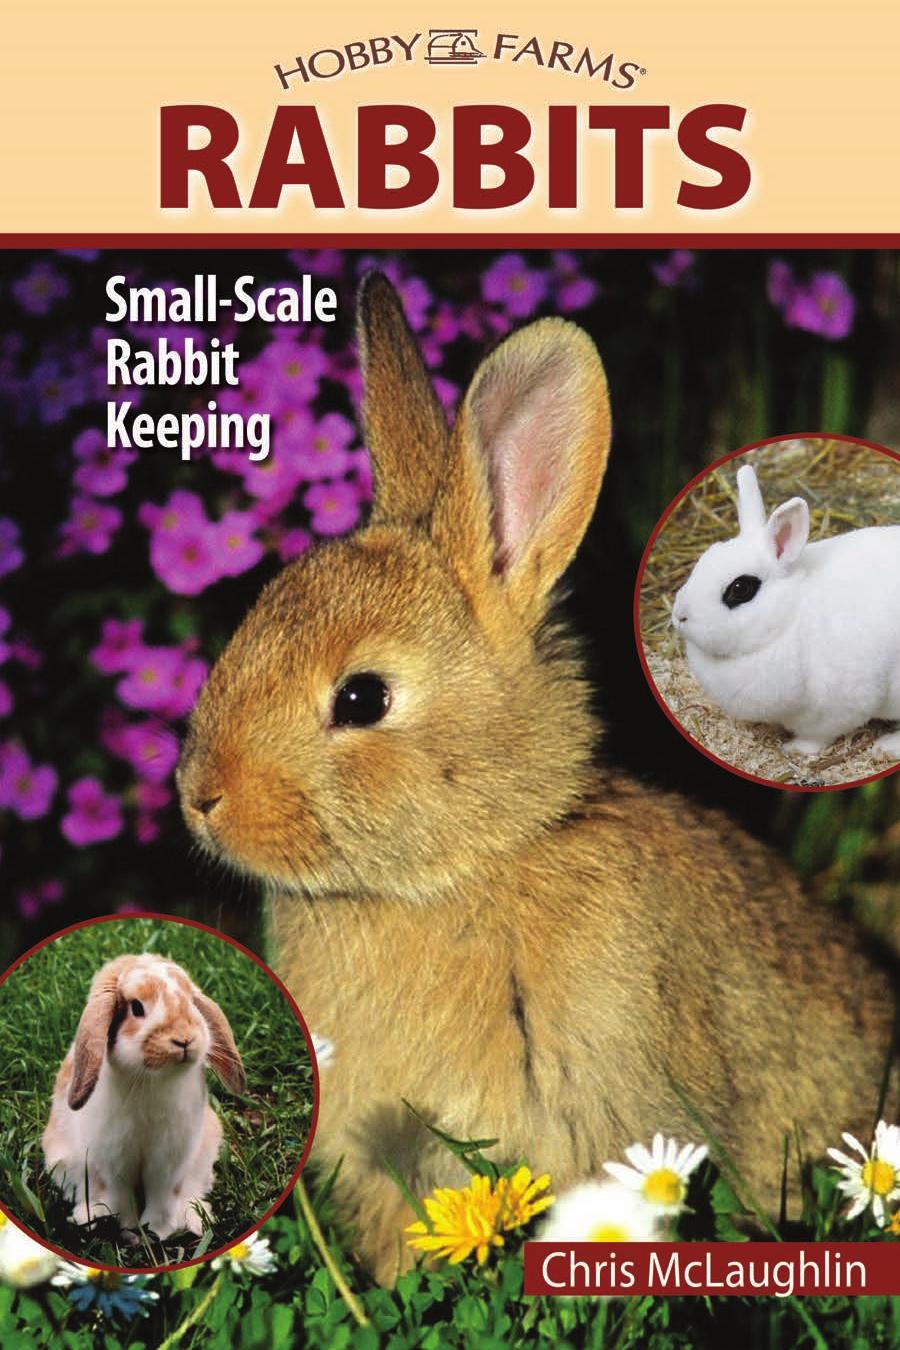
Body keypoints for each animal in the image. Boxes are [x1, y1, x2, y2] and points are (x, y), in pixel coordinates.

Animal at [42, 953, 246, 1240]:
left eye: (191, 1002)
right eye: (136, 1008)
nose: (184, 1039)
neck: (152, 1080)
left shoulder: (169, 1160)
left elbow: (162, 1196)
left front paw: (158, 1232)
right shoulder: (114, 1160)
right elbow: (120, 1197)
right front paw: (130, 1232)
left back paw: (195, 1221)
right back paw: (88, 1217)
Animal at [672, 462, 900, 757]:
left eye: (740, 588)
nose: (680, 616)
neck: (791, 618)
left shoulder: (837, 708)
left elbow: (817, 737)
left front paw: (794, 749)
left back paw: (887, 746)